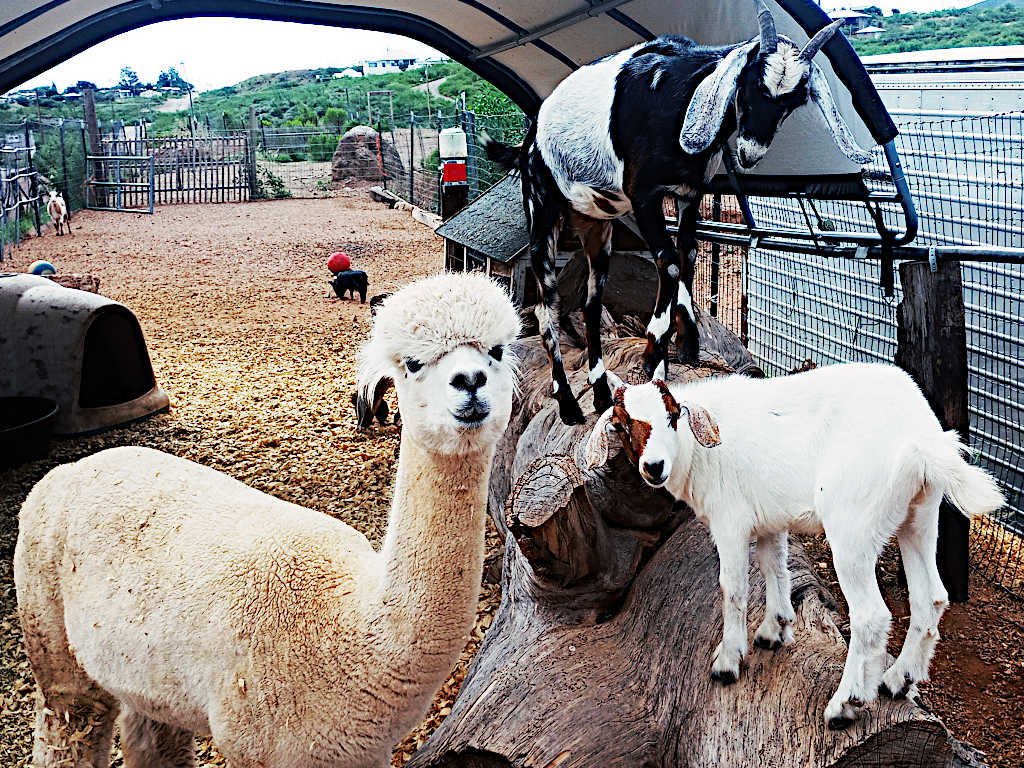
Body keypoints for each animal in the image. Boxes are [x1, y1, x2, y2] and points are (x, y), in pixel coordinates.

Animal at [483, 0, 868, 428]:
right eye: (749, 83)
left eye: (796, 100)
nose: (750, 152)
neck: (676, 98)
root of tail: (528, 141)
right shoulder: (643, 196)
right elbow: (668, 263)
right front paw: (655, 354)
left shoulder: (690, 195)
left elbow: (689, 256)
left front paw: (686, 344)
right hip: (542, 211)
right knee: (545, 304)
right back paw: (567, 402)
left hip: (597, 226)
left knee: (591, 305)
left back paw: (600, 393)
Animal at [589, 364, 1003, 729]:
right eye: (621, 425)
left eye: (673, 416)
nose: (654, 466)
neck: (700, 452)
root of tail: (922, 441)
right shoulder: (770, 520)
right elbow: (774, 565)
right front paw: (774, 629)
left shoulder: (730, 521)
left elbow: (732, 588)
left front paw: (728, 660)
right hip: (920, 514)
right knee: (930, 596)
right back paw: (898, 680)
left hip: (852, 525)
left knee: (871, 616)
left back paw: (846, 704)